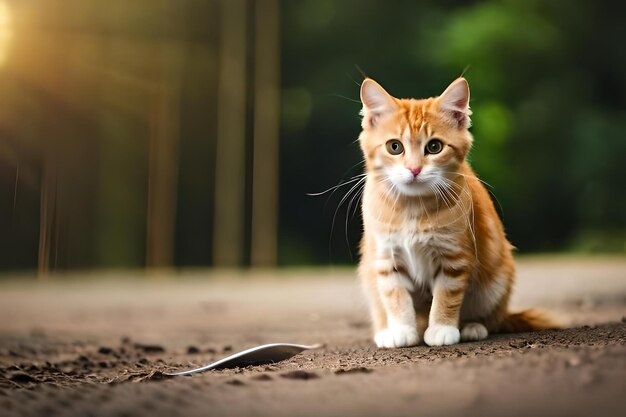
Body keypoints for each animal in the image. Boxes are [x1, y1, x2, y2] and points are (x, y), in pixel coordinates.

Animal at [356, 76, 556, 346]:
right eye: (394, 147)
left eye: (434, 147)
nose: (414, 169)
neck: (412, 208)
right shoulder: (386, 258)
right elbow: (395, 296)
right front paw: (401, 329)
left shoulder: (454, 257)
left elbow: (446, 295)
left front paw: (442, 328)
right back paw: (386, 331)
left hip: (497, 280)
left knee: (492, 317)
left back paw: (473, 326)